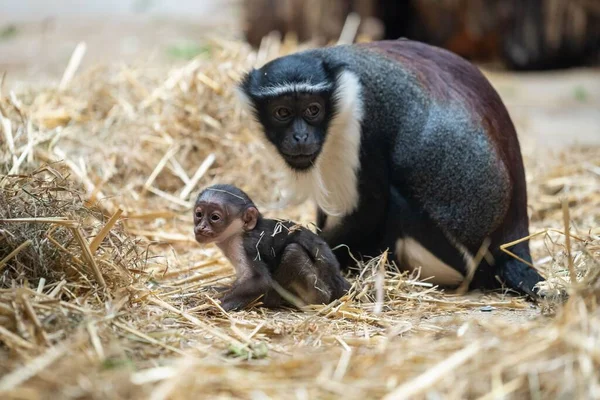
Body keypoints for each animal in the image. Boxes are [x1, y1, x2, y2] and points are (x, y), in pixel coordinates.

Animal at [192, 183, 352, 310]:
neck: (240, 233)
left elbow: (261, 281)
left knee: (293, 252)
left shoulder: (246, 246)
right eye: (199, 214)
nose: (201, 227)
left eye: (215, 217)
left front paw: (218, 303)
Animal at [237, 39, 548, 296]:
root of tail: (513, 245)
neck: (339, 80)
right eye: (282, 113)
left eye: (313, 110)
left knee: (394, 202)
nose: (300, 136)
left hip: (453, 261)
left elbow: (367, 210)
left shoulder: (360, 124)